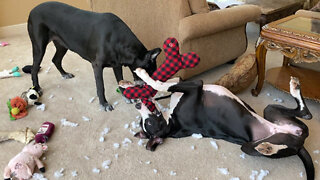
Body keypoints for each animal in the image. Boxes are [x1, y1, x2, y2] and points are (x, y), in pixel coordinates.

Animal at [27, 1, 160, 111]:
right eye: (149, 72)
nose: (152, 90)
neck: (117, 40)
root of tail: (32, 10)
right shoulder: (97, 66)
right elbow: (101, 87)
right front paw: (104, 104)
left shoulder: (117, 65)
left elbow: (120, 81)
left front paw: (126, 97)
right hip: (39, 47)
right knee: (34, 68)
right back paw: (36, 87)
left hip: (62, 45)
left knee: (56, 60)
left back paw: (64, 74)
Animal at [126, 68, 314, 180]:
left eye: (147, 122)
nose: (137, 106)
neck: (171, 121)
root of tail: (298, 141)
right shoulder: (195, 86)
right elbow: (163, 86)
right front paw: (142, 77)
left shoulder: (186, 84)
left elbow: (168, 83)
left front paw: (131, 84)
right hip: (250, 146)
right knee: (301, 120)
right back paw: (267, 147)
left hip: (270, 111)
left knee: (306, 112)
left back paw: (295, 87)